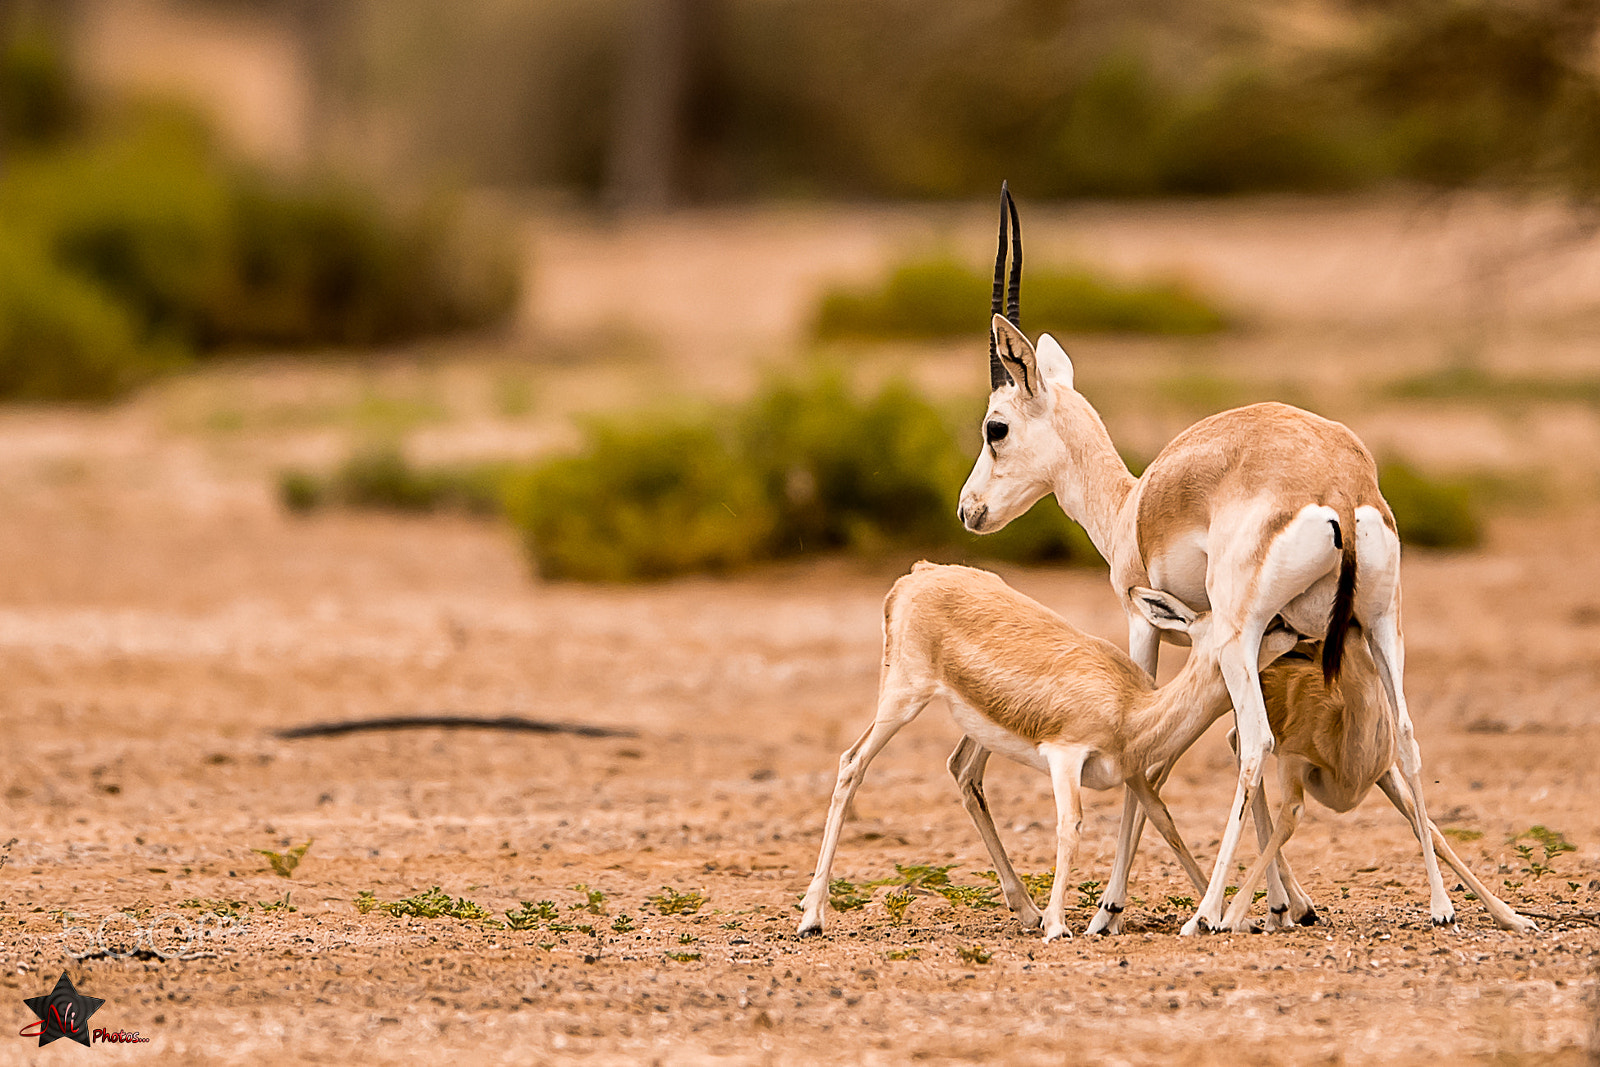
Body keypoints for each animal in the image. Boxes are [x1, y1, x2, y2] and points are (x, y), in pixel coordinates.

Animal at [796, 562, 1304, 942]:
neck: (1132, 710)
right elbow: (1070, 825)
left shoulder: (1132, 772)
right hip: (902, 699)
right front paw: (1060, 926)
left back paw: (1027, 910)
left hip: (977, 732)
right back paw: (812, 918)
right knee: (851, 764)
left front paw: (1218, 915)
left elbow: (1164, 821)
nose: (1295, 631)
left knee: (963, 773)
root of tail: (917, 575)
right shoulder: (1065, 755)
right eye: (1257, 626)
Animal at [955, 185, 1458, 935]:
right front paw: (1284, 903)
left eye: (996, 427)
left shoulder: (1151, 624)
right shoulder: (1277, 642)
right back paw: (1442, 905)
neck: (1132, 504)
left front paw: (1110, 908)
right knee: (1403, 735)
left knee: (1256, 747)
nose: (969, 509)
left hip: (1241, 632)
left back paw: (1202, 917)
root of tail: (1340, 485)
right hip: (1379, 627)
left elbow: (1148, 754)